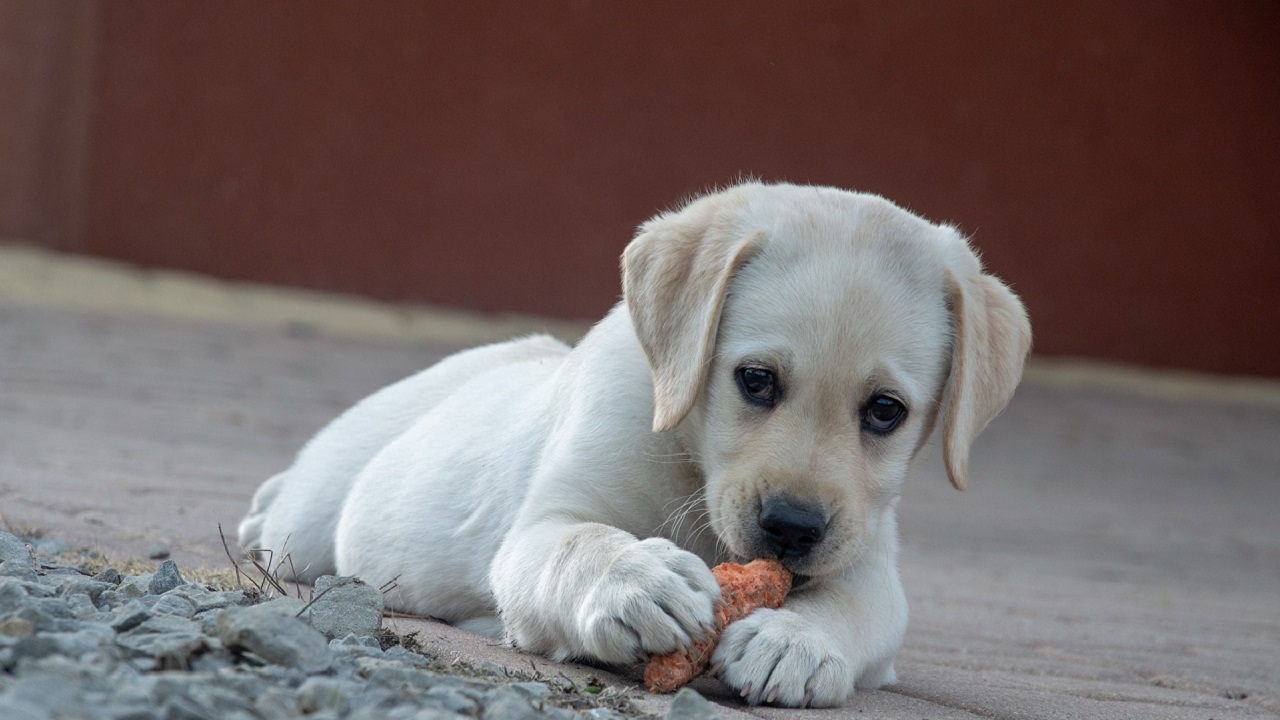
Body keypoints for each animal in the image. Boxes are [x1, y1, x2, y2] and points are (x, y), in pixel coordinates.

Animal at [240, 181, 1034, 702]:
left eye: (885, 411)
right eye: (755, 380)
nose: (791, 528)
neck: (691, 463)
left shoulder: (869, 557)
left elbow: (856, 606)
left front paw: (796, 641)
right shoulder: (540, 528)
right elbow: (580, 543)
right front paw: (635, 581)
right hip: (314, 517)